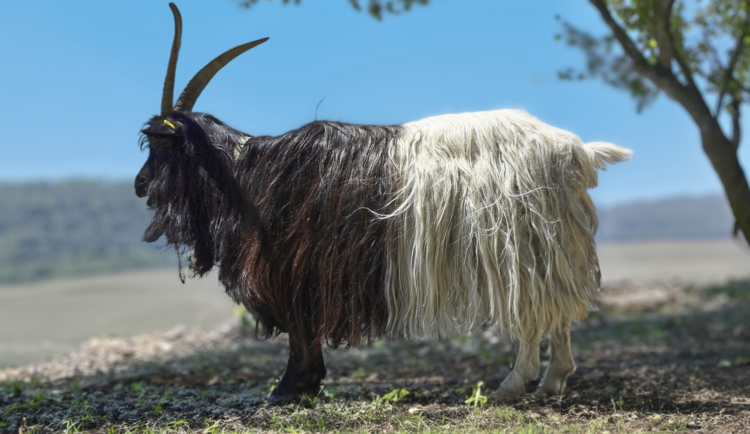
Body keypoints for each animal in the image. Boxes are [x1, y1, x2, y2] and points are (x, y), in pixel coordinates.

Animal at [135, 3, 636, 406]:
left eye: (159, 146)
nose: (140, 186)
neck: (243, 173)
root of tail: (574, 150)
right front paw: (303, 385)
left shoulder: (294, 266)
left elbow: (300, 329)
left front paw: (290, 388)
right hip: (550, 244)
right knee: (558, 311)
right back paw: (553, 381)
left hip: (519, 243)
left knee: (534, 313)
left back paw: (513, 385)